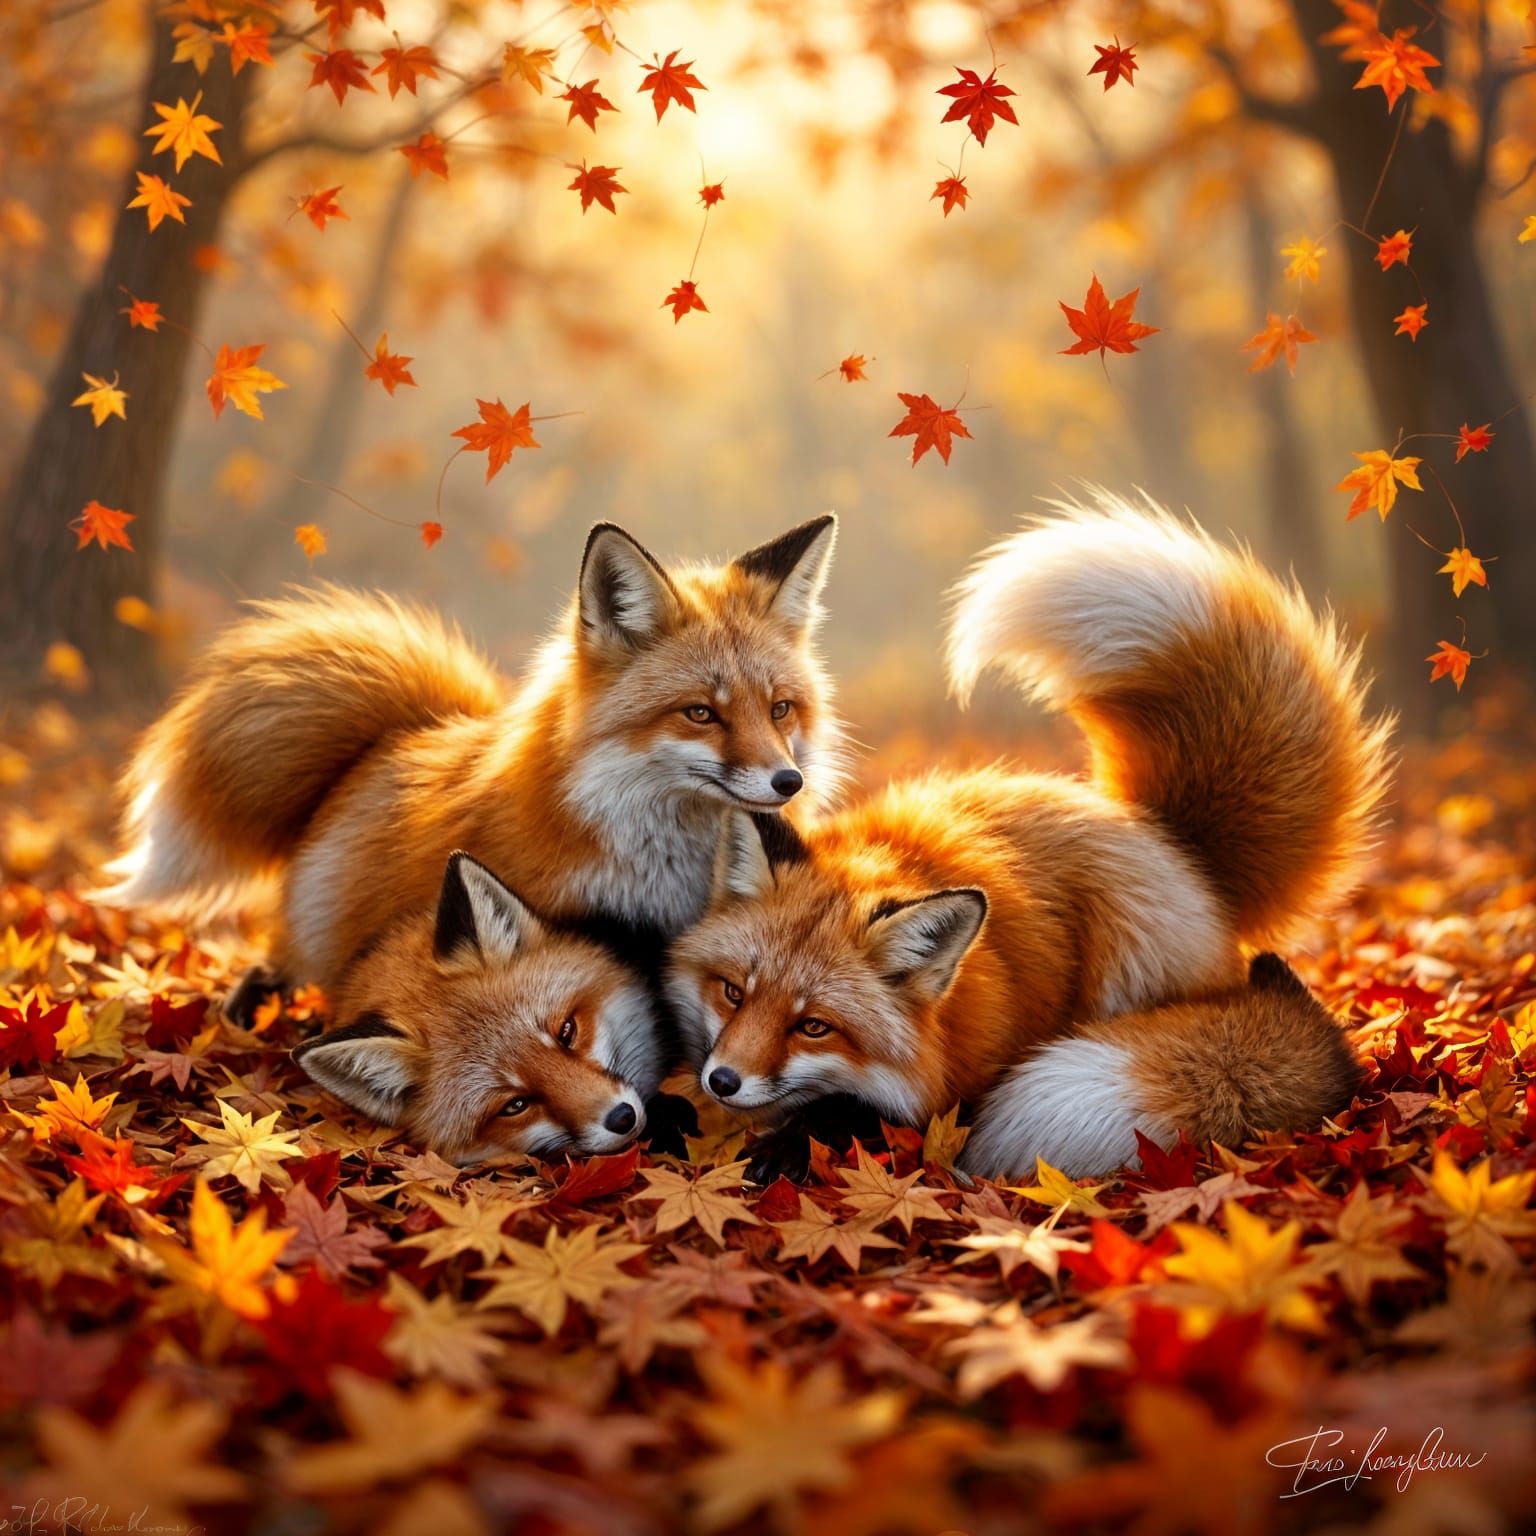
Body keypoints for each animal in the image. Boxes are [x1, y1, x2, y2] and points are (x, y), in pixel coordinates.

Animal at [666, 492, 1393, 1181]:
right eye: (733, 992)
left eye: (814, 1026)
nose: (723, 1080)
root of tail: (1167, 838)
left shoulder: (957, 1084)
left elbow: (854, 1113)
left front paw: (784, 1148)